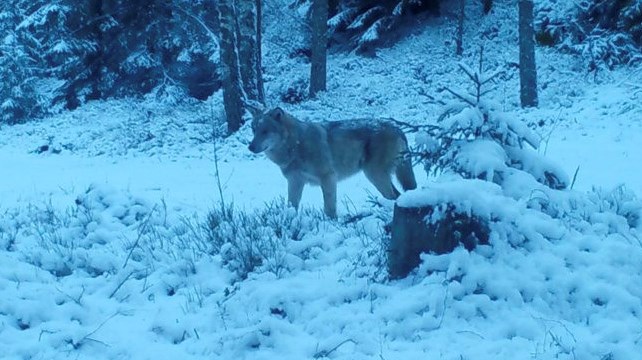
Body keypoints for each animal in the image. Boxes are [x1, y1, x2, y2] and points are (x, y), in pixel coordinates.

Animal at [245, 107, 416, 218]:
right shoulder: (295, 181)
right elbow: (292, 205)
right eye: (253, 130)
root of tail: (397, 127)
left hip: (374, 175)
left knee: (393, 196)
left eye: (265, 131)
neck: (296, 145)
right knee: (398, 195)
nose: (250, 147)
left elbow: (329, 208)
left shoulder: (328, 177)